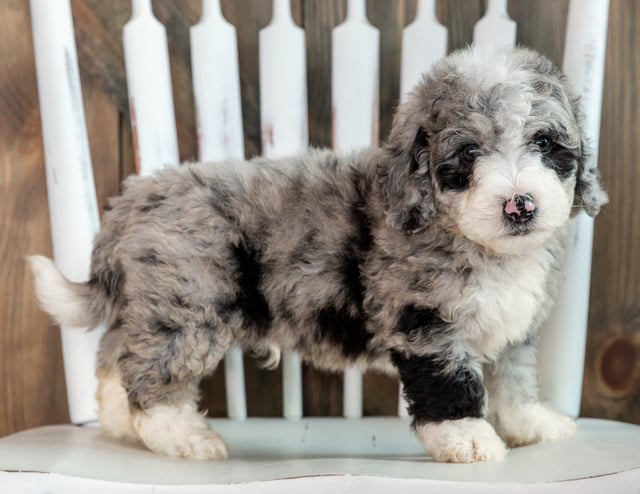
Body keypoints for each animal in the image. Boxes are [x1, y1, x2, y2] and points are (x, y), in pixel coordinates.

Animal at [31, 46, 604, 464]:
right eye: (467, 154)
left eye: (545, 143)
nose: (520, 204)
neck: (481, 246)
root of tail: (133, 196)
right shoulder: (425, 322)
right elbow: (451, 384)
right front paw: (469, 439)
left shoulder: (513, 329)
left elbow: (513, 380)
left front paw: (532, 423)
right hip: (188, 310)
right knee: (152, 375)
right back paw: (184, 436)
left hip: (152, 308)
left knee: (114, 360)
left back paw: (121, 424)